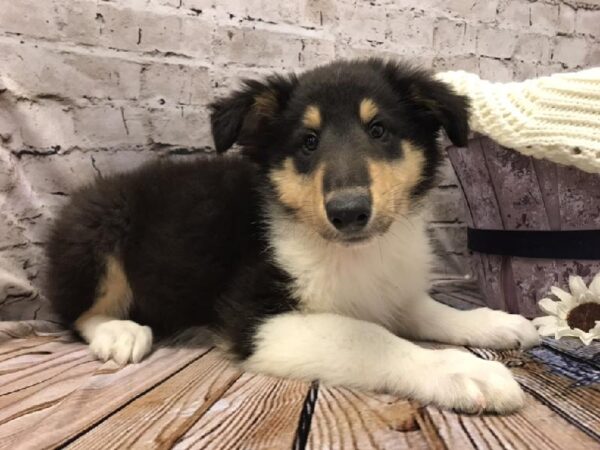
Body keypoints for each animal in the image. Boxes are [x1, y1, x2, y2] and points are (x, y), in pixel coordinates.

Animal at [45, 59, 540, 414]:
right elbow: (368, 337)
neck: (348, 253)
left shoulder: (389, 293)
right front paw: (461, 371)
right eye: (308, 141)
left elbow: (430, 311)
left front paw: (496, 323)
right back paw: (119, 333)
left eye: (379, 130)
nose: (348, 213)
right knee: (77, 313)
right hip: (96, 232)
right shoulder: (255, 317)